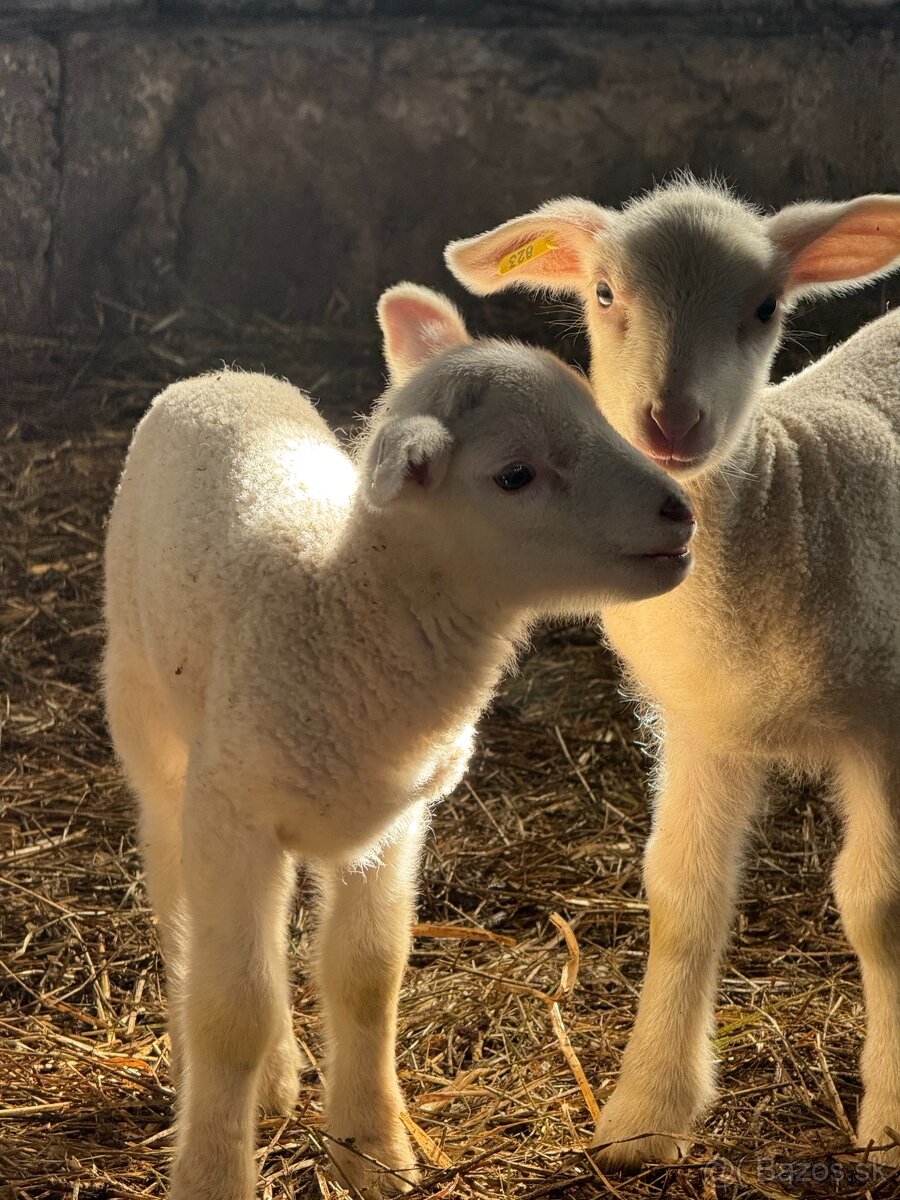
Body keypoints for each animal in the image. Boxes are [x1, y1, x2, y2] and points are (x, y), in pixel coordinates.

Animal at [103, 283, 696, 1200]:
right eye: (515, 474)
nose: (680, 511)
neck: (339, 609)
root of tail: (220, 374)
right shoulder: (231, 813)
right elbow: (231, 1011)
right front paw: (212, 1173)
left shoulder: (392, 819)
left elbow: (368, 978)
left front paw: (374, 1150)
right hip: (150, 719)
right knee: (176, 892)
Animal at [448, 182, 900, 1166]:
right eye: (605, 293)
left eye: (766, 306)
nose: (672, 421)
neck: (788, 493)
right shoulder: (700, 719)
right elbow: (683, 895)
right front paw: (643, 1115)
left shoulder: (888, 717)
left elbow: (878, 904)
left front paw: (891, 1117)